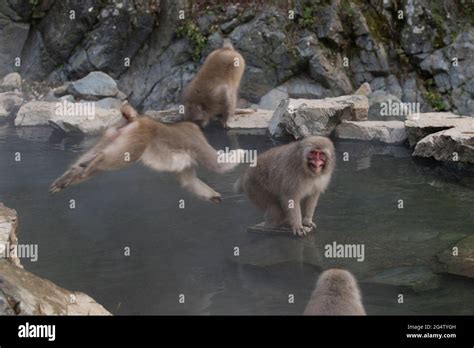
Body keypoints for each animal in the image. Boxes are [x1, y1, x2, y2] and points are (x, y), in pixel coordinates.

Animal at [49, 103, 244, 203]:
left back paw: (72, 174)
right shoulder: (196, 140)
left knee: (92, 159)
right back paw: (97, 161)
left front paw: (213, 196)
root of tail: (136, 119)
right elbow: (218, 164)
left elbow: (188, 182)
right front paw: (241, 153)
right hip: (138, 138)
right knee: (114, 158)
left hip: (113, 133)